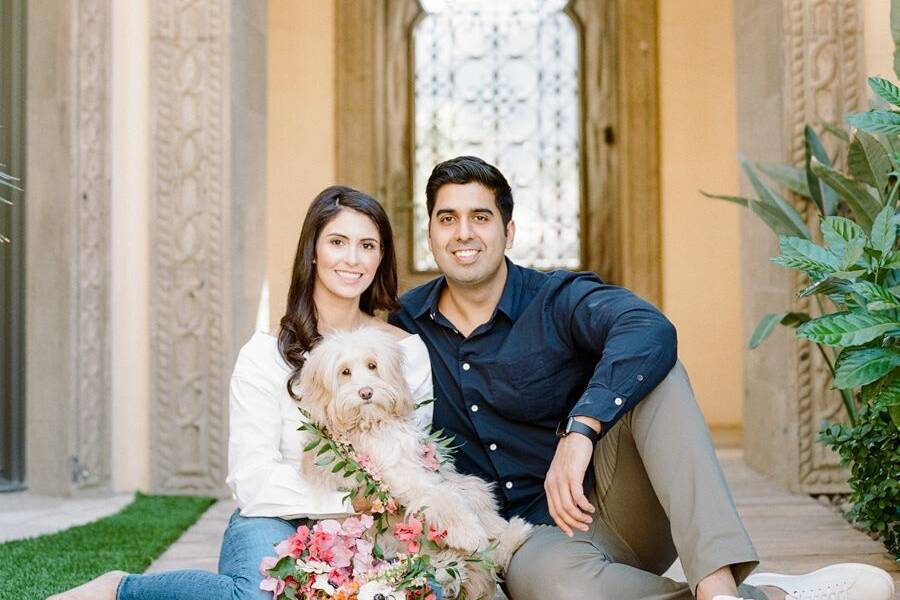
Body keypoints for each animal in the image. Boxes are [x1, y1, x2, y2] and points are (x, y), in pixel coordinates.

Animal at [298, 328, 532, 600]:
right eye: (344, 372)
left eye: (372, 365)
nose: (366, 392)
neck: (371, 422)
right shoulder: (403, 476)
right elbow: (444, 500)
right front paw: (470, 535)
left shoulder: (431, 465)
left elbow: (470, 493)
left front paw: (488, 528)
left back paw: (512, 535)